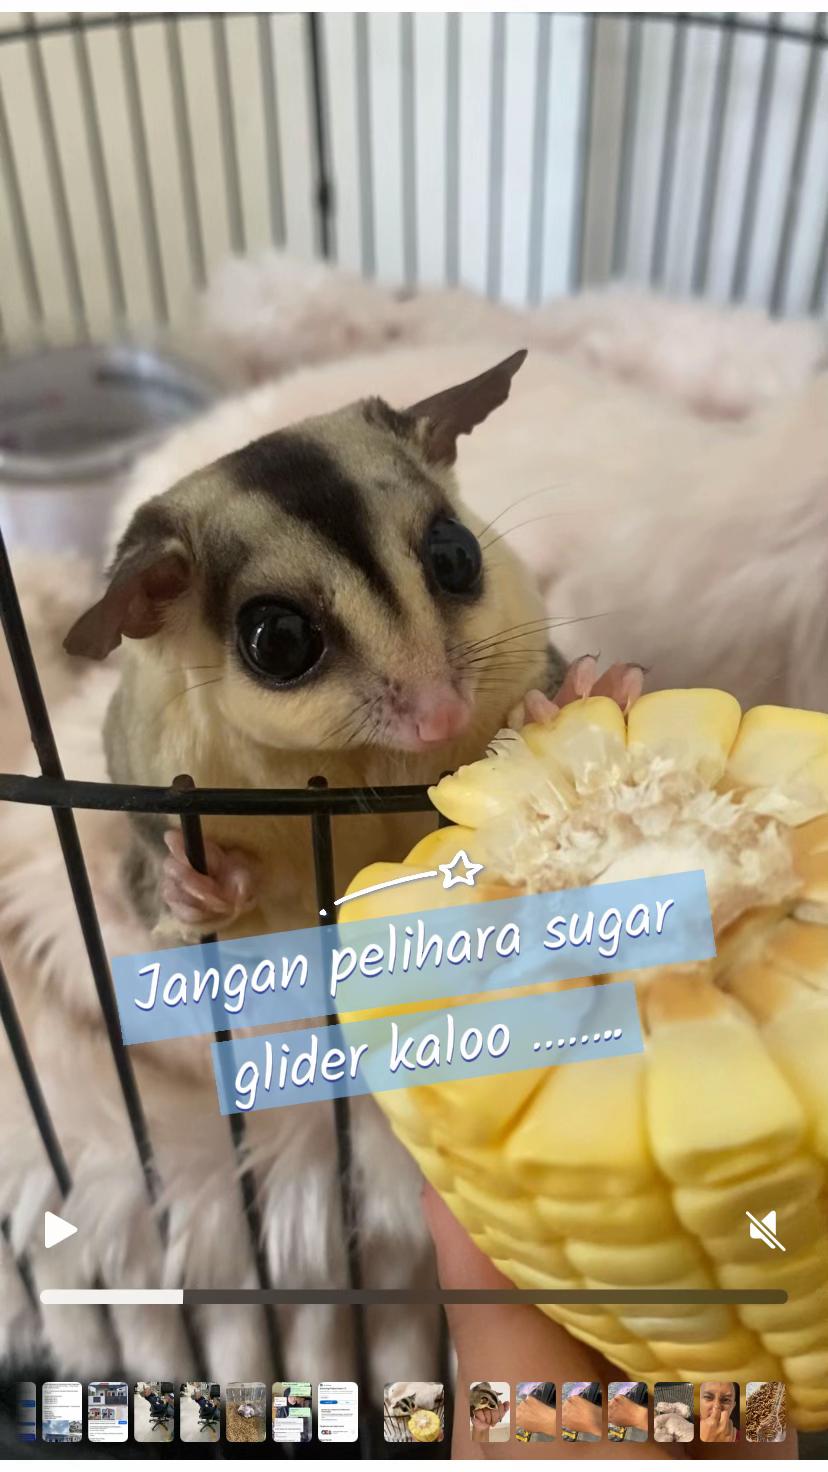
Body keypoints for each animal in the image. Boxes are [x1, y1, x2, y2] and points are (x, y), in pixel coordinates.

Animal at [64, 350, 640, 940]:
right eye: (279, 641)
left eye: (456, 558)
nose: (442, 715)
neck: (363, 753)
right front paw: (203, 891)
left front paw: (578, 700)